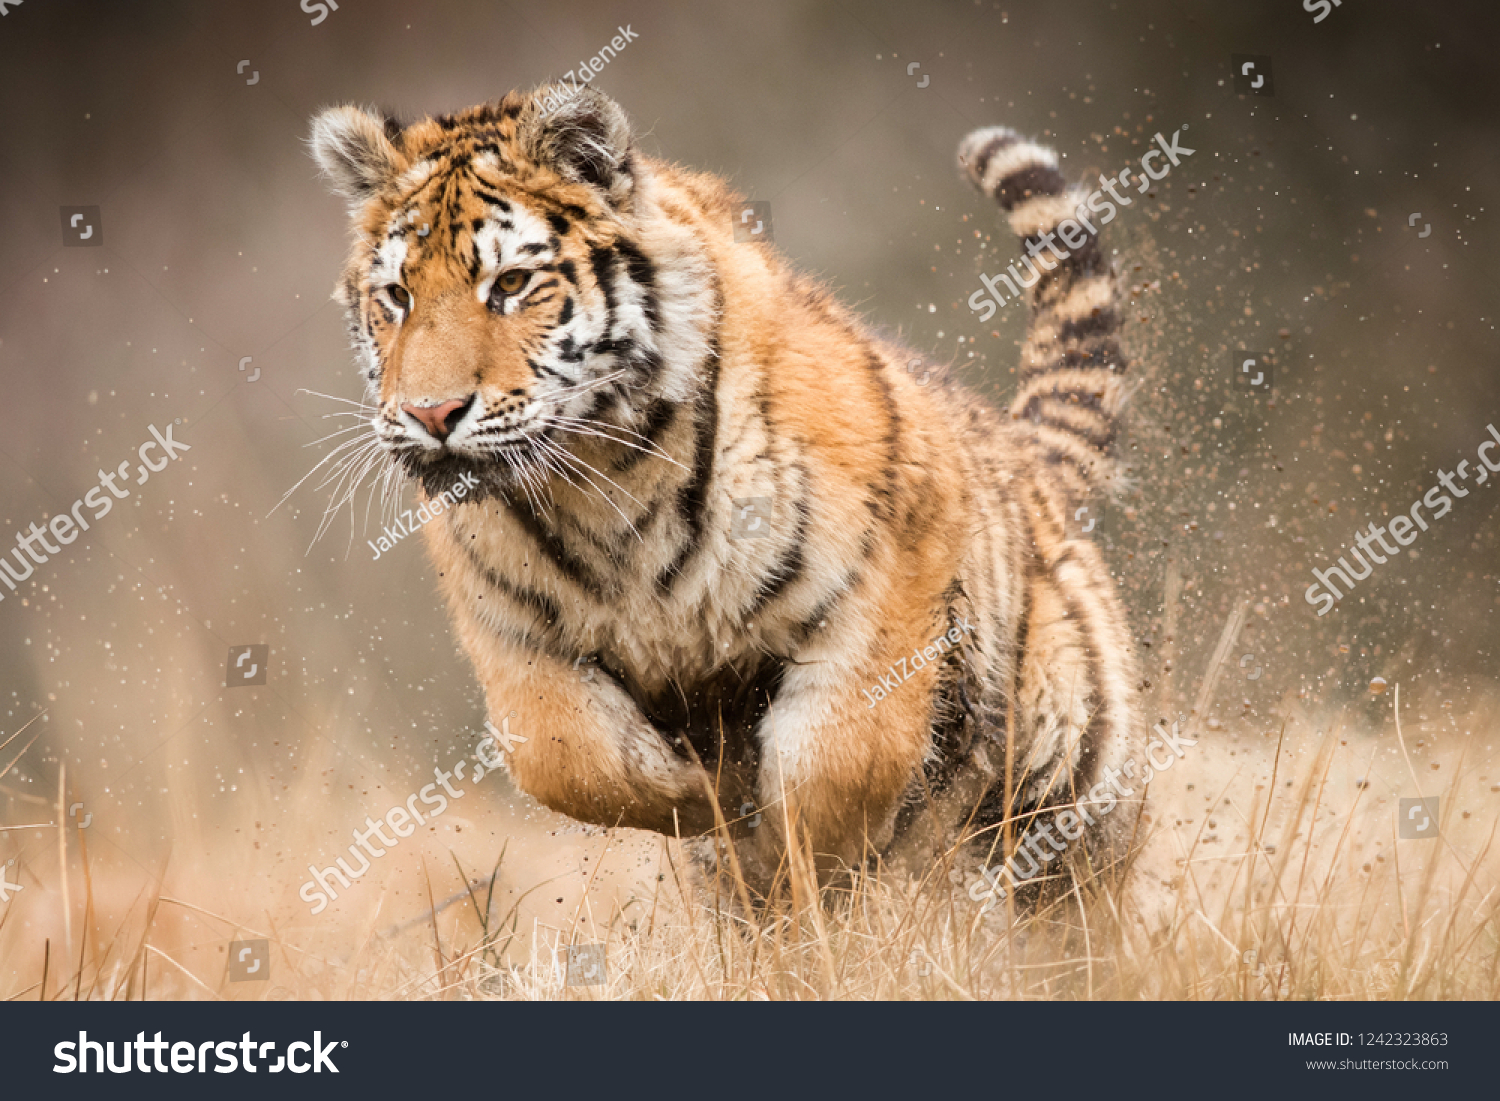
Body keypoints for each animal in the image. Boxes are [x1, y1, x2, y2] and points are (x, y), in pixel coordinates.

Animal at [308, 84, 1145, 899]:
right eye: (397, 295)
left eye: (511, 283)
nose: (431, 414)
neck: (599, 478)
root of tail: (1027, 460)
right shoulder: (517, 643)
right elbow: (566, 762)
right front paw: (708, 796)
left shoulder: (876, 609)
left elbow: (833, 781)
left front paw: (796, 877)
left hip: (1071, 796)